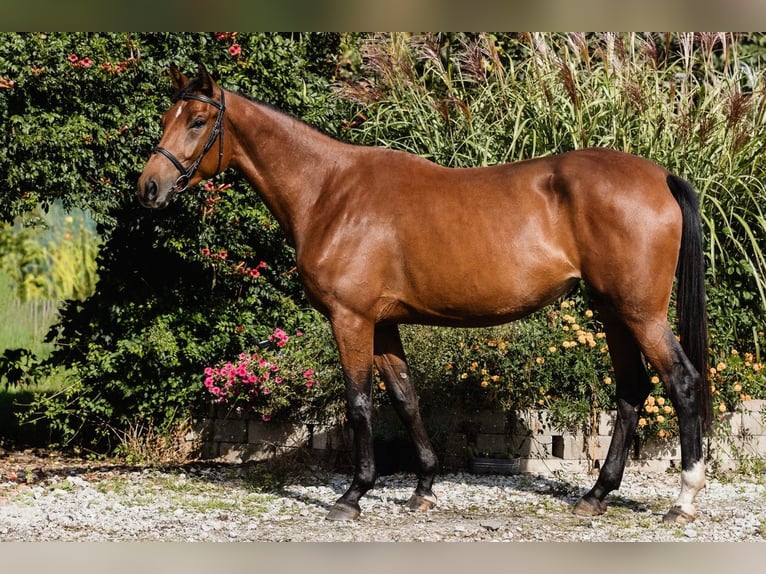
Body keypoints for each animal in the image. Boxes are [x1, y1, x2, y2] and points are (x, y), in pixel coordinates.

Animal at [138, 63, 711, 524]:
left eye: (197, 121)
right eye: (167, 117)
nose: (149, 188)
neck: (329, 191)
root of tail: (660, 175)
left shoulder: (350, 319)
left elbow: (360, 403)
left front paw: (352, 495)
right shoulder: (384, 323)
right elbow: (406, 398)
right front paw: (424, 487)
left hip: (641, 314)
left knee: (681, 383)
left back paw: (683, 500)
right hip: (613, 312)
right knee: (632, 389)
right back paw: (596, 494)